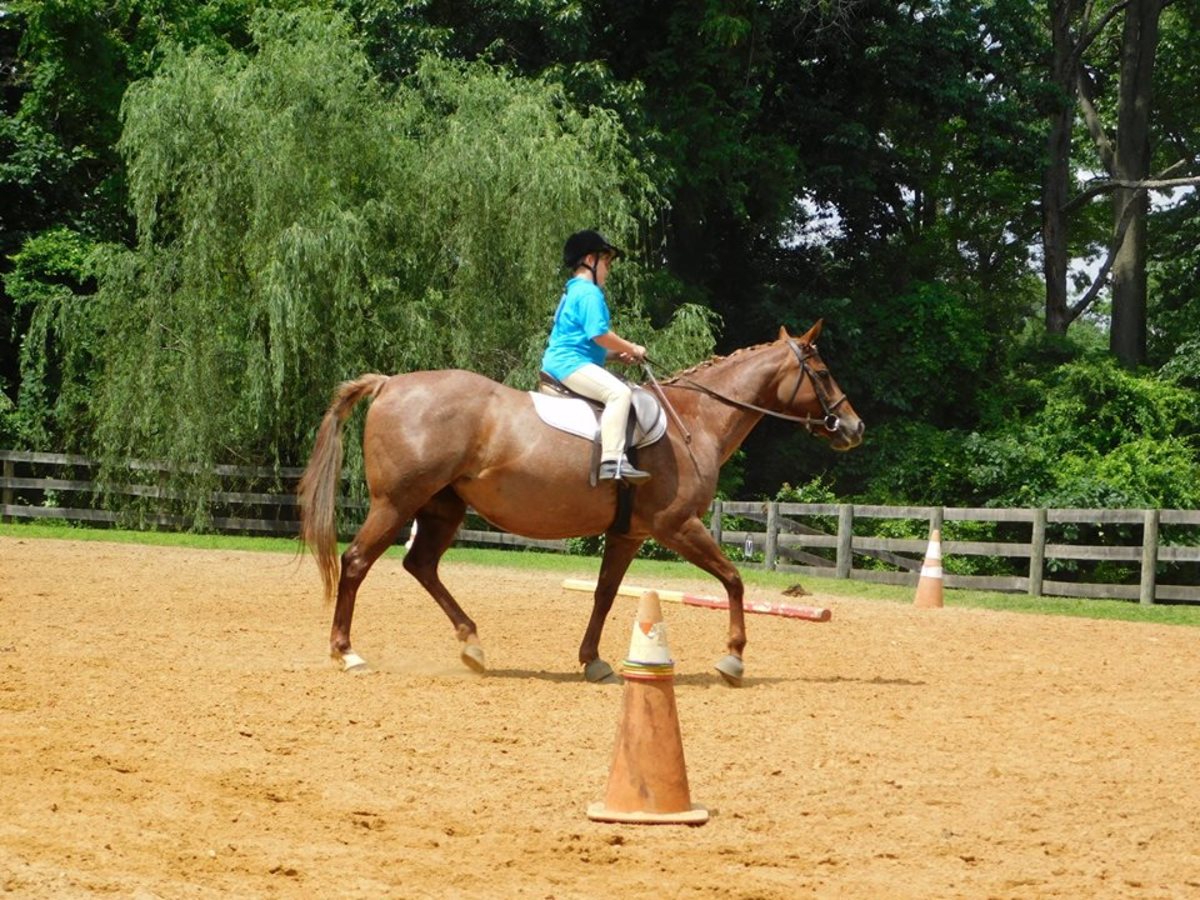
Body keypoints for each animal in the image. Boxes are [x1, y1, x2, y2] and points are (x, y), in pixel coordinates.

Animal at [297, 320, 863, 686]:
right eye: (823, 372)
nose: (854, 427)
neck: (693, 420)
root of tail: (390, 384)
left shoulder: (629, 533)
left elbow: (605, 596)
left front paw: (592, 661)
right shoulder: (677, 526)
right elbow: (734, 579)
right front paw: (733, 660)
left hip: (442, 508)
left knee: (421, 565)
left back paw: (472, 644)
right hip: (397, 503)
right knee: (357, 562)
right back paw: (347, 653)